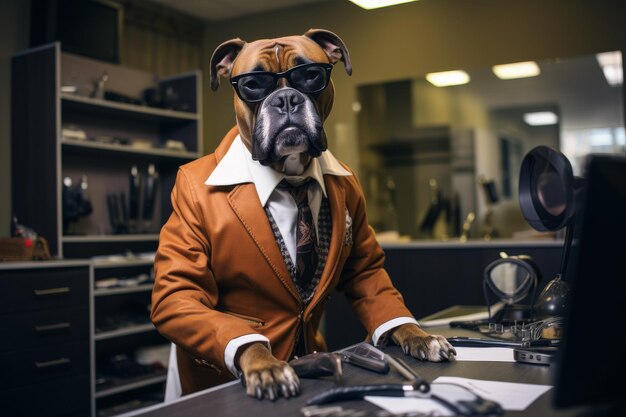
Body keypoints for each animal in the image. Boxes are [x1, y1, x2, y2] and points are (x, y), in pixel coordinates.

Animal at [152, 29, 454, 404]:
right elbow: (196, 302)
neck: (290, 176)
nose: (285, 99)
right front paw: (264, 363)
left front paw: (417, 334)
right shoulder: (179, 292)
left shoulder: (365, 265)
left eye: (310, 75)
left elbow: (376, 288)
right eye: (253, 84)